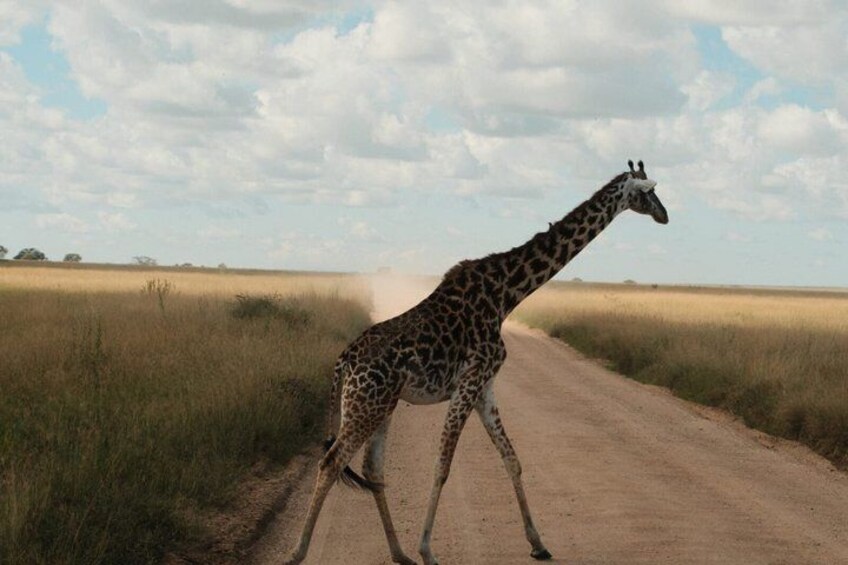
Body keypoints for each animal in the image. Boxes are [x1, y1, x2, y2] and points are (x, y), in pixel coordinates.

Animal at [284, 160, 669, 565]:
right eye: (649, 192)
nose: (665, 216)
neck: (507, 293)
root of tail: (343, 361)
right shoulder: (469, 381)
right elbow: (442, 466)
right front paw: (428, 550)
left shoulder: (485, 386)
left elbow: (511, 458)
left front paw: (538, 543)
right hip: (365, 405)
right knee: (331, 462)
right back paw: (298, 552)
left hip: (380, 405)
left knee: (372, 469)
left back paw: (399, 553)